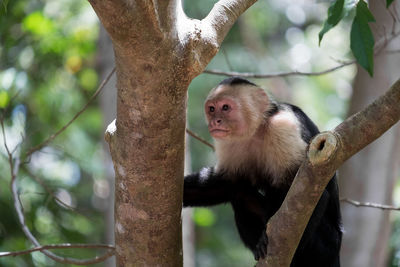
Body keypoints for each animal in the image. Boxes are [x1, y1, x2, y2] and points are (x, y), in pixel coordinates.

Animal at [183, 77, 342, 267]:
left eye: (226, 108)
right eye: (212, 109)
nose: (215, 121)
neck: (258, 128)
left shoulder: (283, 127)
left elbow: (315, 194)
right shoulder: (229, 143)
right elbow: (225, 183)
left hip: (326, 247)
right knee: (240, 193)